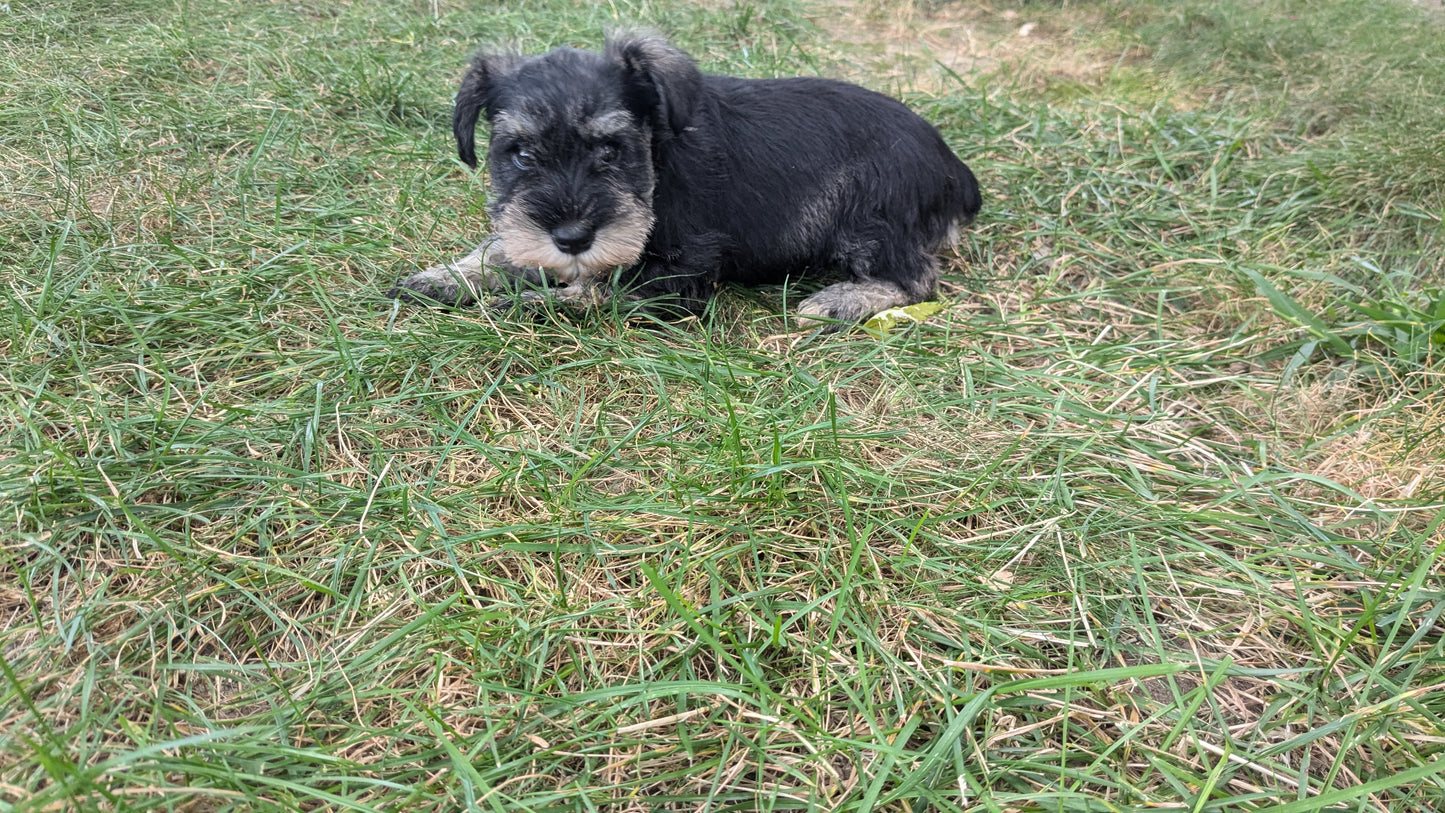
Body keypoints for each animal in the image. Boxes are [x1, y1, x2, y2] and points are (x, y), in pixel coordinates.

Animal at [390, 31, 982, 330]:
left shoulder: (685, 270)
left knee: (916, 278)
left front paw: (531, 302)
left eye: (611, 149)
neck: (658, 161)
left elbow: (602, 289)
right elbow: (503, 244)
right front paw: (447, 276)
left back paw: (840, 301)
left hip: (868, 220)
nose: (572, 238)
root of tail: (952, 166)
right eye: (522, 154)